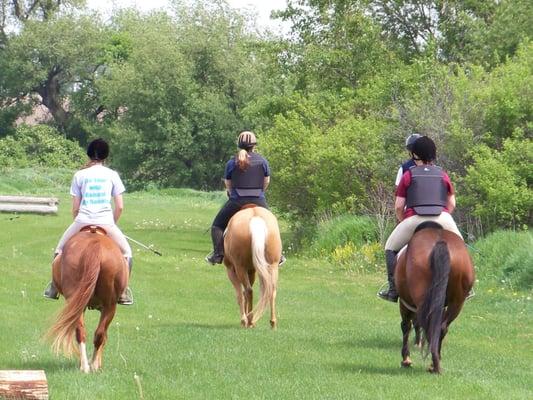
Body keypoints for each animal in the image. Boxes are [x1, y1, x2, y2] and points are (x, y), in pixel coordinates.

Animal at [46, 227, 128, 374]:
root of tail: (95, 244)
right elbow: (104, 336)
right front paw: (98, 364)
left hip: (80, 303)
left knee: (83, 332)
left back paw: (85, 366)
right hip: (110, 306)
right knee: (98, 334)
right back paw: (92, 365)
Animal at [394, 220, 474, 374]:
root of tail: (440, 242)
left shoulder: (405, 301)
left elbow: (406, 325)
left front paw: (406, 359)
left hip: (420, 299)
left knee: (425, 325)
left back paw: (433, 363)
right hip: (457, 302)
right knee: (441, 327)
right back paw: (435, 364)